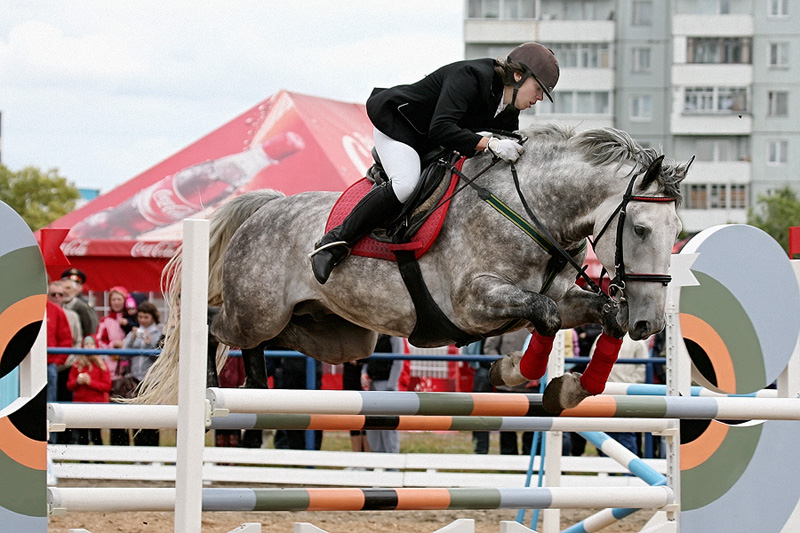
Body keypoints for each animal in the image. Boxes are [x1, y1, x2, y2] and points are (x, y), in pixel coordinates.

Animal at [136, 123, 688, 408]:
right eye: (641, 229)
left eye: (678, 230)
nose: (648, 323)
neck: (528, 209)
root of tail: (263, 208)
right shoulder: (473, 302)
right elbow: (544, 317)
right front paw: (511, 372)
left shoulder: (564, 297)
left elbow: (594, 316)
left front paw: (573, 388)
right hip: (257, 309)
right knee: (212, 323)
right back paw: (207, 386)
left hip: (338, 335)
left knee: (271, 342)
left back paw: (254, 386)